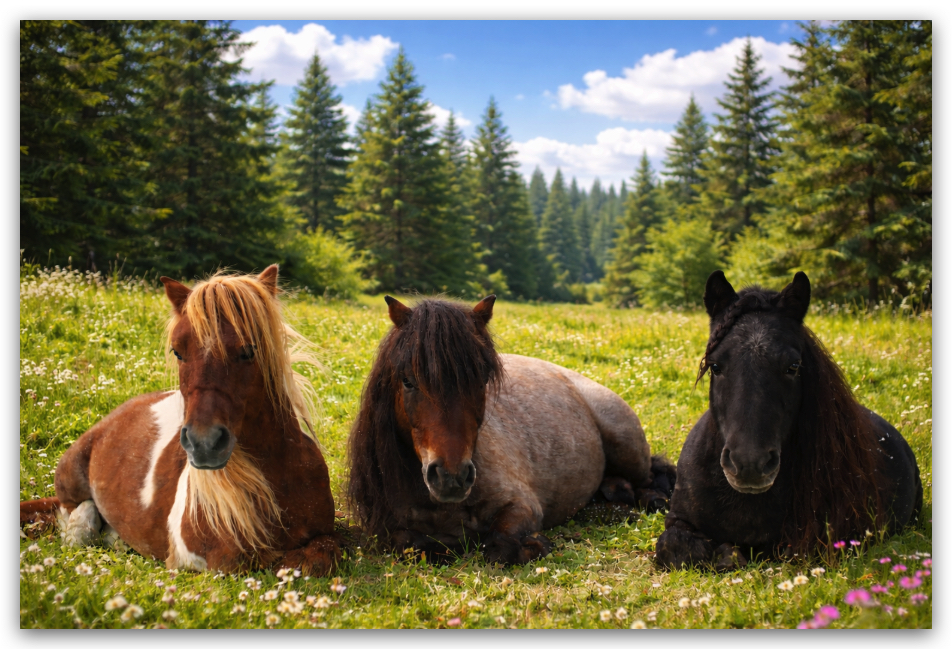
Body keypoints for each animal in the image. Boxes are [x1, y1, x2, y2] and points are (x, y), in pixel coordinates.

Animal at [19, 266, 340, 575]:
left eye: (249, 349)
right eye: (178, 351)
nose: (204, 444)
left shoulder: (325, 534)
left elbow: (323, 552)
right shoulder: (209, 555)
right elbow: (254, 560)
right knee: (73, 517)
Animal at [347, 295, 675, 565]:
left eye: (482, 379)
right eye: (407, 381)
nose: (452, 477)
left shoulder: (521, 506)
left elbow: (500, 547)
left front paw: (536, 545)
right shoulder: (390, 530)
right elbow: (415, 546)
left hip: (625, 445)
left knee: (648, 479)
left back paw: (648, 500)